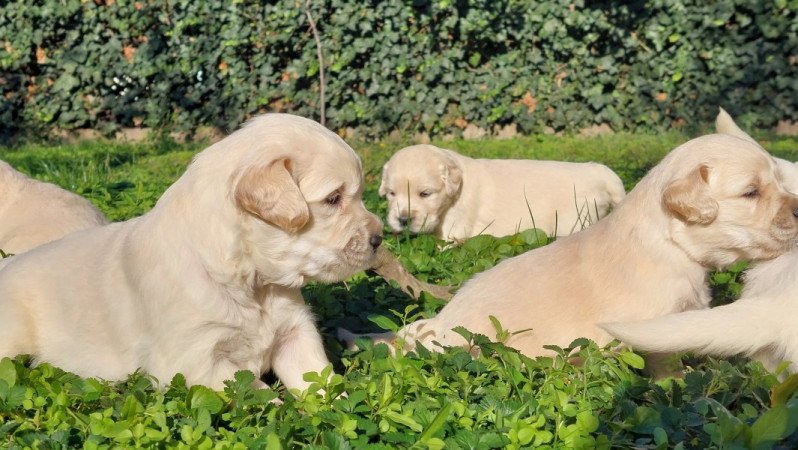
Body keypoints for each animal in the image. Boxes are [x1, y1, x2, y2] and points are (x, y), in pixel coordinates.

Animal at [378, 146, 628, 241]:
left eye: (425, 194)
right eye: (391, 194)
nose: (403, 219)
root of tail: (601, 172)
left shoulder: (455, 227)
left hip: (576, 219)